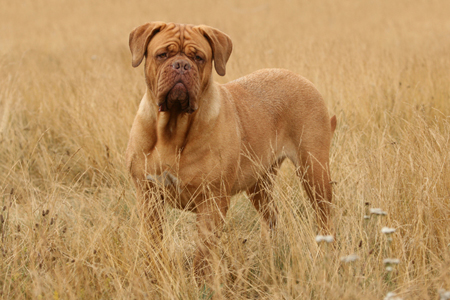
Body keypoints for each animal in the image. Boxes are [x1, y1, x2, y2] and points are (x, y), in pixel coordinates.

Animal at [125, 22, 336, 276]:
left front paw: (199, 280)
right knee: (272, 218)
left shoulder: (212, 202)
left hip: (314, 173)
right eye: (162, 55)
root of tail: (300, 78)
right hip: (260, 185)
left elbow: (203, 253)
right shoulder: (149, 198)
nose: (182, 65)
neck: (172, 130)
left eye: (199, 58)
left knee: (325, 218)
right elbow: (153, 243)